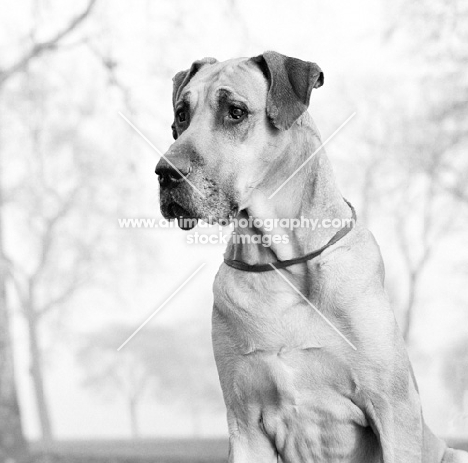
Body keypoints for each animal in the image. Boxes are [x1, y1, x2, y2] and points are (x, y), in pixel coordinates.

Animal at [154, 52, 468, 462]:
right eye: (182, 114)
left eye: (235, 112)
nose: (165, 173)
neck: (282, 263)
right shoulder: (244, 422)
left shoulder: (392, 409)